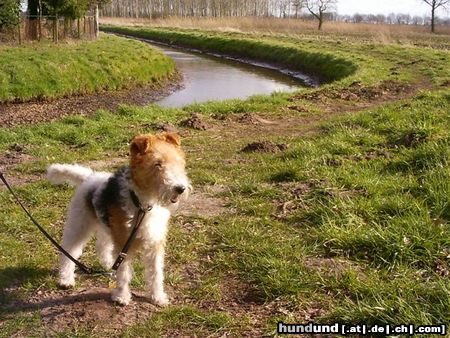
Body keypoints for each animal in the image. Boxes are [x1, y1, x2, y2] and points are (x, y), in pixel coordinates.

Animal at [47, 132, 190, 306]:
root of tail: (90, 177)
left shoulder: (154, 243)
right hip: (79, 224)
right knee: (69, 251)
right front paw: (121, 297)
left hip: (105, 226)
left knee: (102, 245)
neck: (142, 205)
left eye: (178, 162)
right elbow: (124, 274)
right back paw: (65, 279)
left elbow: (156, 274)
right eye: (157, 164)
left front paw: (158, 297)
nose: (180, 188)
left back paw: (108, 264)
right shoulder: (124, 243)